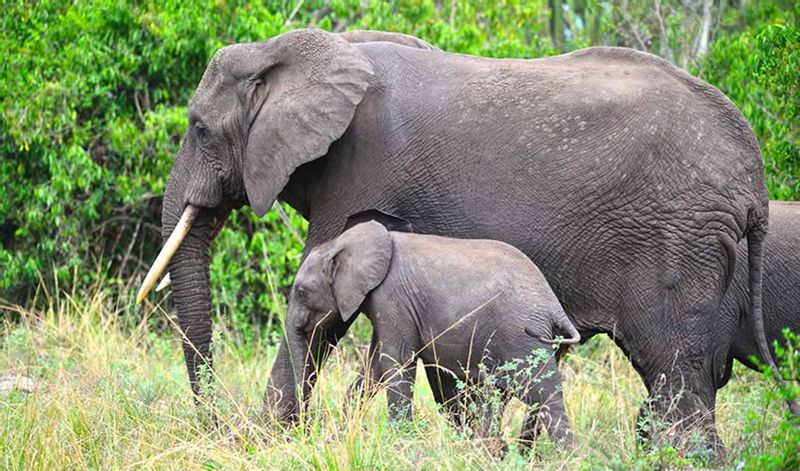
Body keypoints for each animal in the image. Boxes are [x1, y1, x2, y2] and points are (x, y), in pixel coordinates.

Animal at [288, 221, 580, 446]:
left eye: (302, 292)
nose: (306, 427)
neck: (341, 244)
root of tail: (552, 303)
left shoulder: (392, 298)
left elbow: (396, 361)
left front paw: (399, 441)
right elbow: (374, 367)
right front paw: (344, 430)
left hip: (522, 336)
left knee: (545, 395)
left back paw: (569, 457)